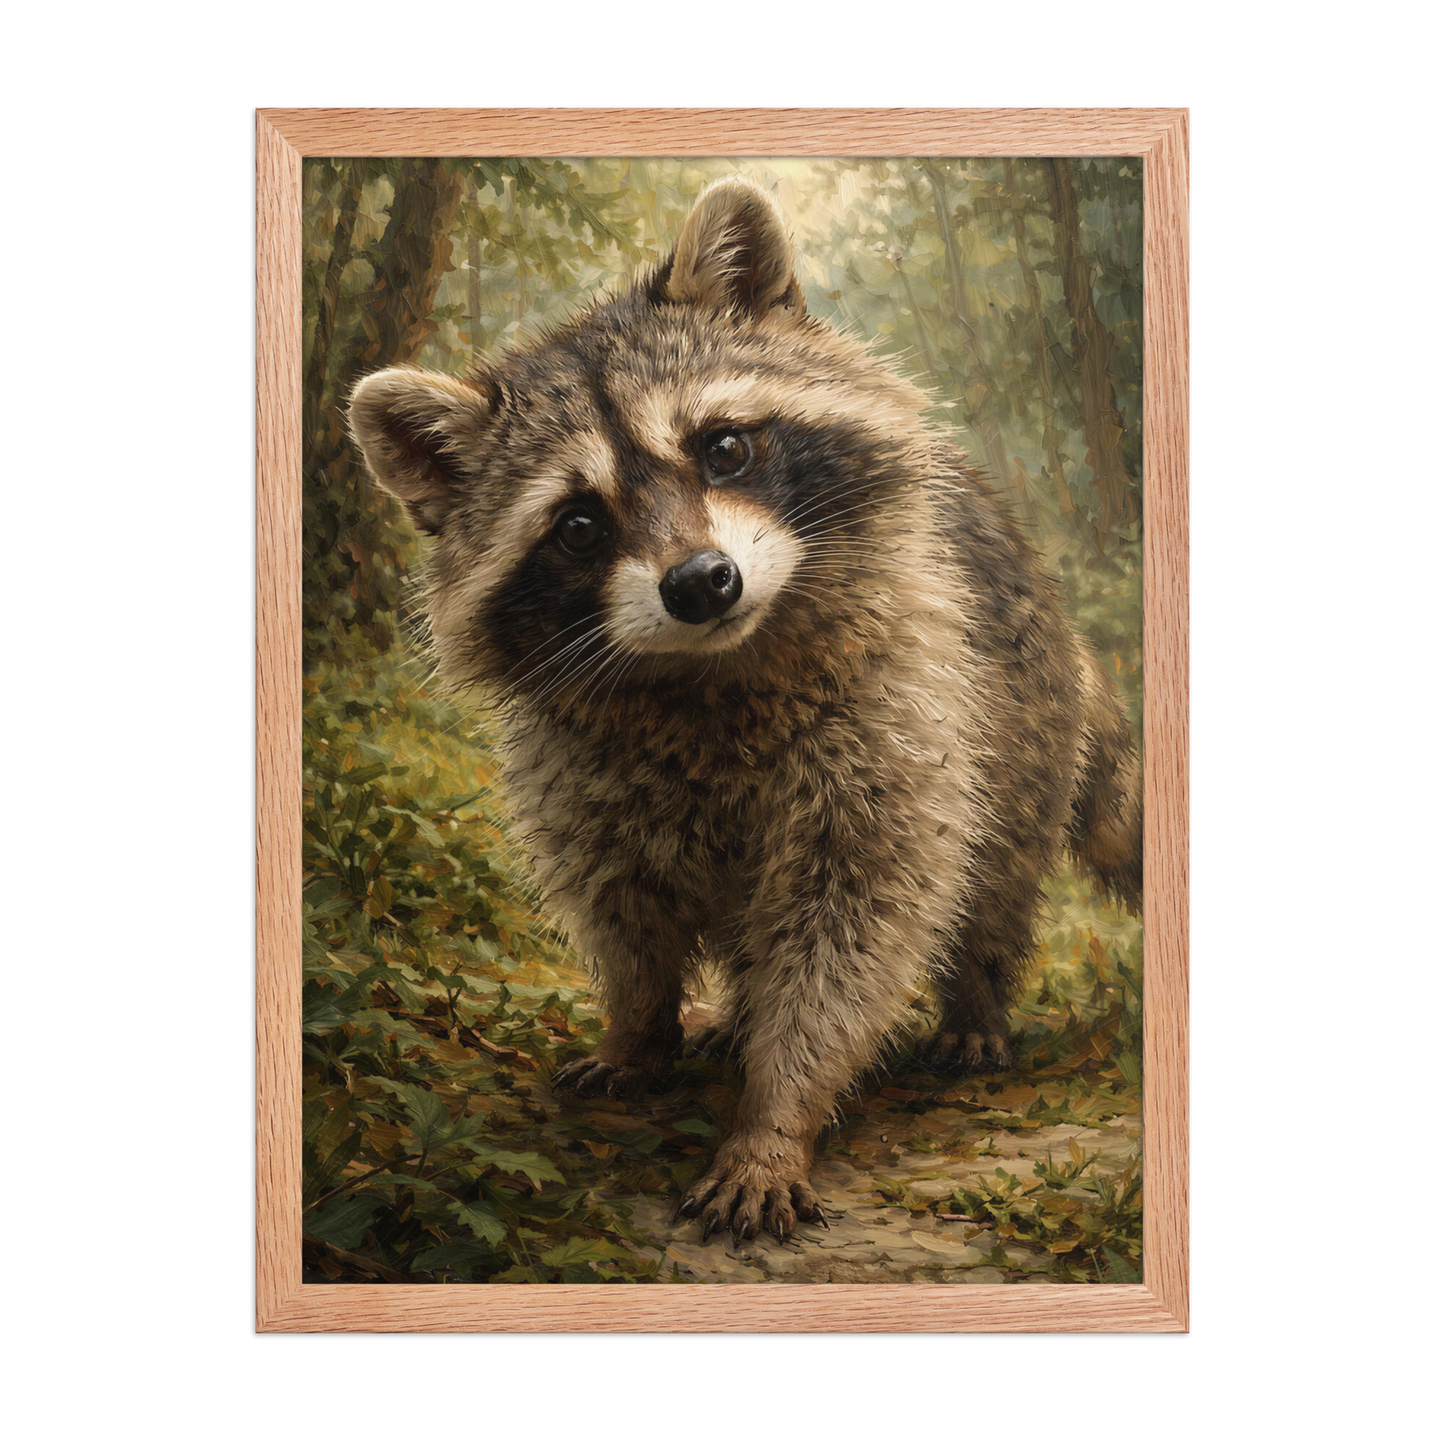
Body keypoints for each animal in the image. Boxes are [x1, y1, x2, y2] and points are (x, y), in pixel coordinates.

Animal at [348, 176, 1142, 1246]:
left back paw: (973, 999)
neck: (710, 672)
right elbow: (621, 908)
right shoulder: (577, 770)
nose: (700, 582)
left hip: (1019, 718)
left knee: (993, 875)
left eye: (723, 447)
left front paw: (775, 1115)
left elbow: (851, 929)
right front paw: (638, 1026)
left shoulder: (898, 714)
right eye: (578, 525)